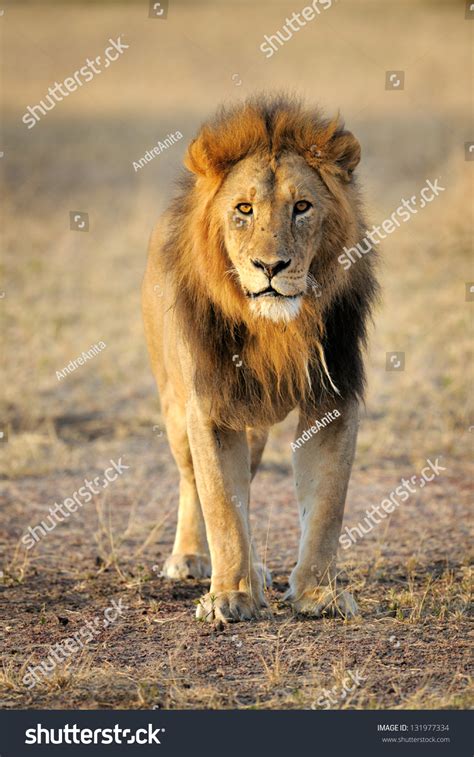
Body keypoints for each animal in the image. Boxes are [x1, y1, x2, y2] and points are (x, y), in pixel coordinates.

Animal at [141, 94, 378, 624]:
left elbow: (327, 504)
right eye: (243, 209)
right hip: (174, 406)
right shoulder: (209, 406)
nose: (271, 267)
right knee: (191, 481)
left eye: (302, 207)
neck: (277, 329)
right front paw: (229, 595)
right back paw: (193, 557)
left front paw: (318, 593)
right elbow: (222, 508)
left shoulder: (333, 398)